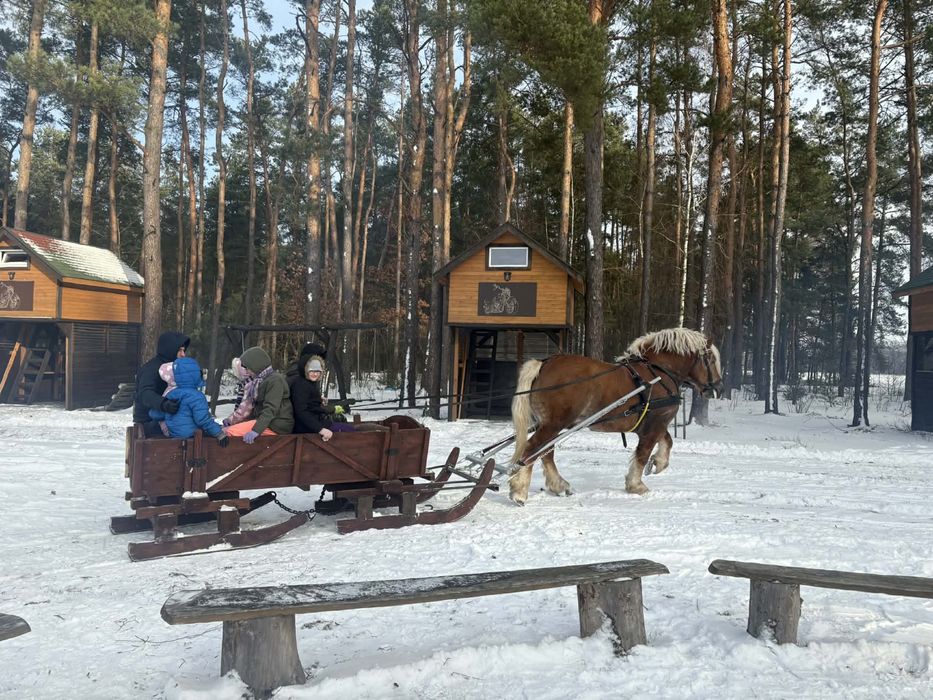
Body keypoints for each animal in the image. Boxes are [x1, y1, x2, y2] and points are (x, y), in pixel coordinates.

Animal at [508, 327, 723, 505]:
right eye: (711, 360)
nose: (717, 387)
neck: (658, 372)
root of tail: (544, 363)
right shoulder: (656, 423)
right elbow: (643, 453)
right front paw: (636, 485)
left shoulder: (652, 423)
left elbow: (667, 442)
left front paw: (658, 463)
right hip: (554, 424)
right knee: (533, 449)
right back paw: (520, 491)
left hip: (550, 425)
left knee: (546, 452)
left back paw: (558, 484)